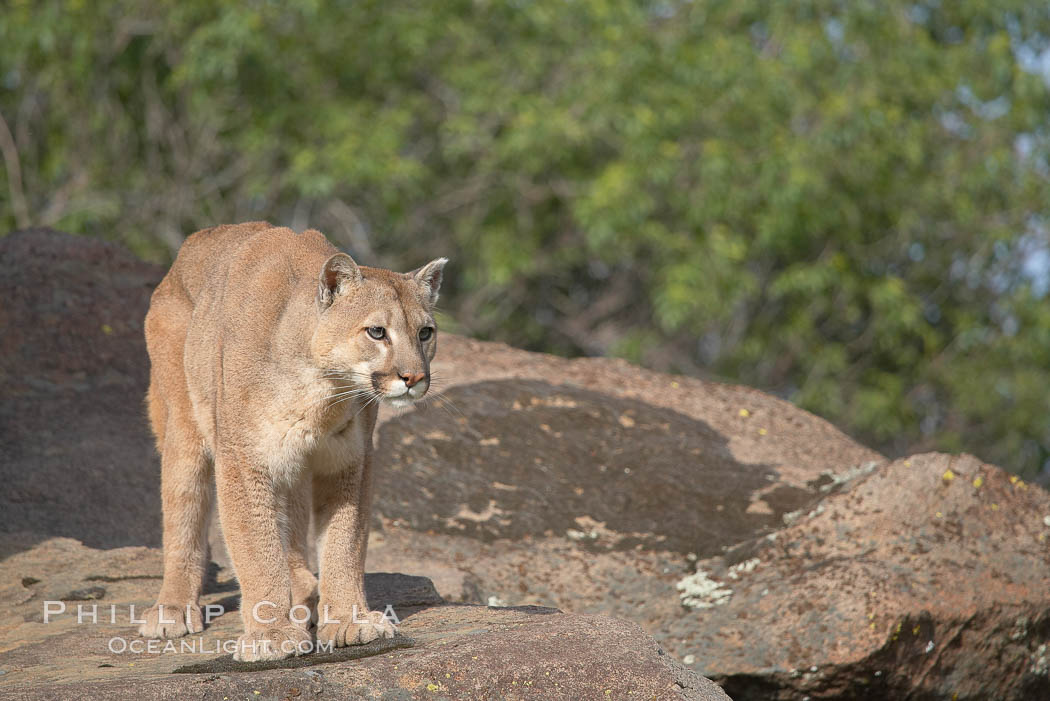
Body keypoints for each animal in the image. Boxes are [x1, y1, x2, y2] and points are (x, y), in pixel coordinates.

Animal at [136, 221, 447, 659]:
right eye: (376, 332)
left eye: (425, 333)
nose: (414, 377)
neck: (320, 390)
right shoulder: (243, 460)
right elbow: (256, 546)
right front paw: (271, 634)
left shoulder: (349, 461)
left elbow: (344, 544)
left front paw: (349, 621)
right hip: (184, 425)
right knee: (184, 508)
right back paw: (173, 609)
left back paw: (303, 592)